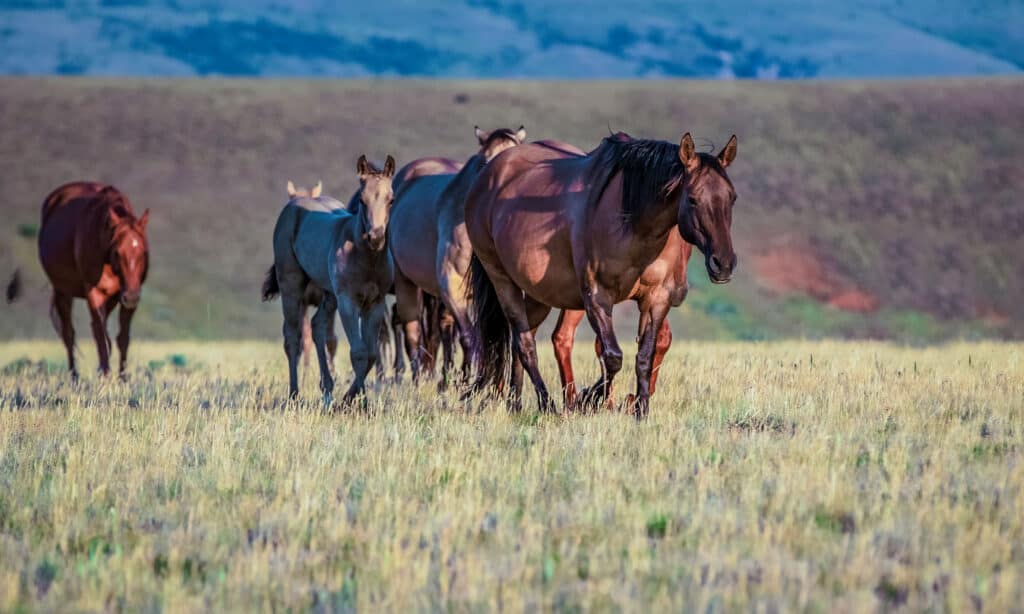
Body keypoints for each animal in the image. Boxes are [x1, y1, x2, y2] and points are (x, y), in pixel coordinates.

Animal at [35, 180, 149, 376]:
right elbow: (100, 336)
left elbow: (122, 338)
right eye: (117, 252)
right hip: (62, 291)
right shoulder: (93, 291)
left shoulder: (126, 296)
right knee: (69, 334)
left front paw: (122, 378)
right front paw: (105, 375)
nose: (131, 296)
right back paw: (74, 376)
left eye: (142, 252)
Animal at [266, 154, 397, 403]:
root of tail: (294, 206)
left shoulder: (375, 303)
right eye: (362, 200)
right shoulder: (348, 301)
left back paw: (327, 389)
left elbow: (371, 353)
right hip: (292, 286)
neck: (367, 258)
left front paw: (354, 398)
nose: (376, 237)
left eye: (391, 200)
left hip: (328, 294)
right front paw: (355, 401)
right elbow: (358, 352)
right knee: (293, 337)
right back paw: (294, 394)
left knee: (318, 326)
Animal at [385, 124, 524, 384]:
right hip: (406, 281)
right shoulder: (452, 288)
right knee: (413, 331)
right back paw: (420, 378)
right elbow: (469, 337)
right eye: (485, 162)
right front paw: (467, 380)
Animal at [464, 130, 737, 417]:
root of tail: (488, 174)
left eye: (732, 197)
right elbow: (612, 356)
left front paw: (640, 409)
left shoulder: (657, 298)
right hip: (502, 280)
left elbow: (644, 356)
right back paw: (548, 404)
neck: (634, 224)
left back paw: (515, 403)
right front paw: (592, 399)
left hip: (540, 293)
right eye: (693, 198)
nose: (724, 264)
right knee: (526, 343)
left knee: (523, 339)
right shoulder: (596, 297)